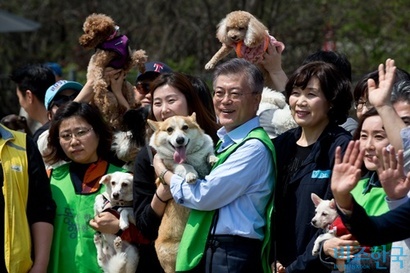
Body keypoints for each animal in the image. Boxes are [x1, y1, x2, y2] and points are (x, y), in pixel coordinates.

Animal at [147, 112, 218, 272]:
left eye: (185, 127)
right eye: (169, 130)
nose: (180, 140)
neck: (190, 155)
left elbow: (209, 153)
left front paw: (212, 158)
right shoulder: (168, 168)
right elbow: (183, 166)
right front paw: (190, 174)